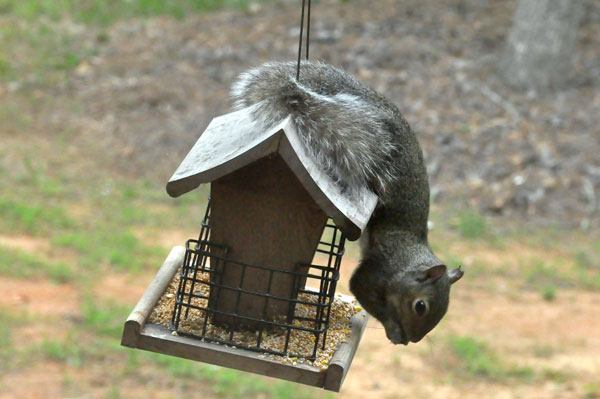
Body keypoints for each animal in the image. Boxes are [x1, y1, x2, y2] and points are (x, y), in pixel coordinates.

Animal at [231, 61, 464, 346]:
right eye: (420, 306)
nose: (413, 340)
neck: (409, 253)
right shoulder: (378, 270)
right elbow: (359, 288)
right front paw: (393, 329)